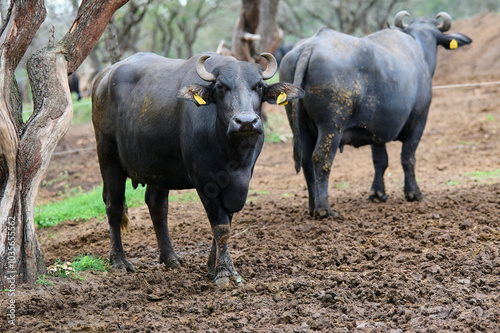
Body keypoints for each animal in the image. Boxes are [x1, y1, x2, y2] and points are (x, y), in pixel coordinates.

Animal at [92, 50, 304, 284]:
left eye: (258, 85)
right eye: (220, 86)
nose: (246, 122)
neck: (232, 153)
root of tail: (103, 78)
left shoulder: (240, 182)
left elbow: (227, 221)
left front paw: (212, 267)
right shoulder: (205, 183)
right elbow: (220, 225)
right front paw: (225, 272)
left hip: (157, 167)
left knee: (157, 207)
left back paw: (170, 257)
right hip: (107, 155)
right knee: (114, 205)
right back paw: (119, 260)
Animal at [282, 11, 472, 218]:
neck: (418, 47)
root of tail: (311, 45)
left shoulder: (376, 130)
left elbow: (380, 161)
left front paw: (377, 193)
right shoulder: (419, 121)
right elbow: (408, 158)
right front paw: (414, 193)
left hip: (300, 126)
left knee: (307, 160)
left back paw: (312, 206)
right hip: (331, 126)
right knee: (321, 158)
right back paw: (325, 209)